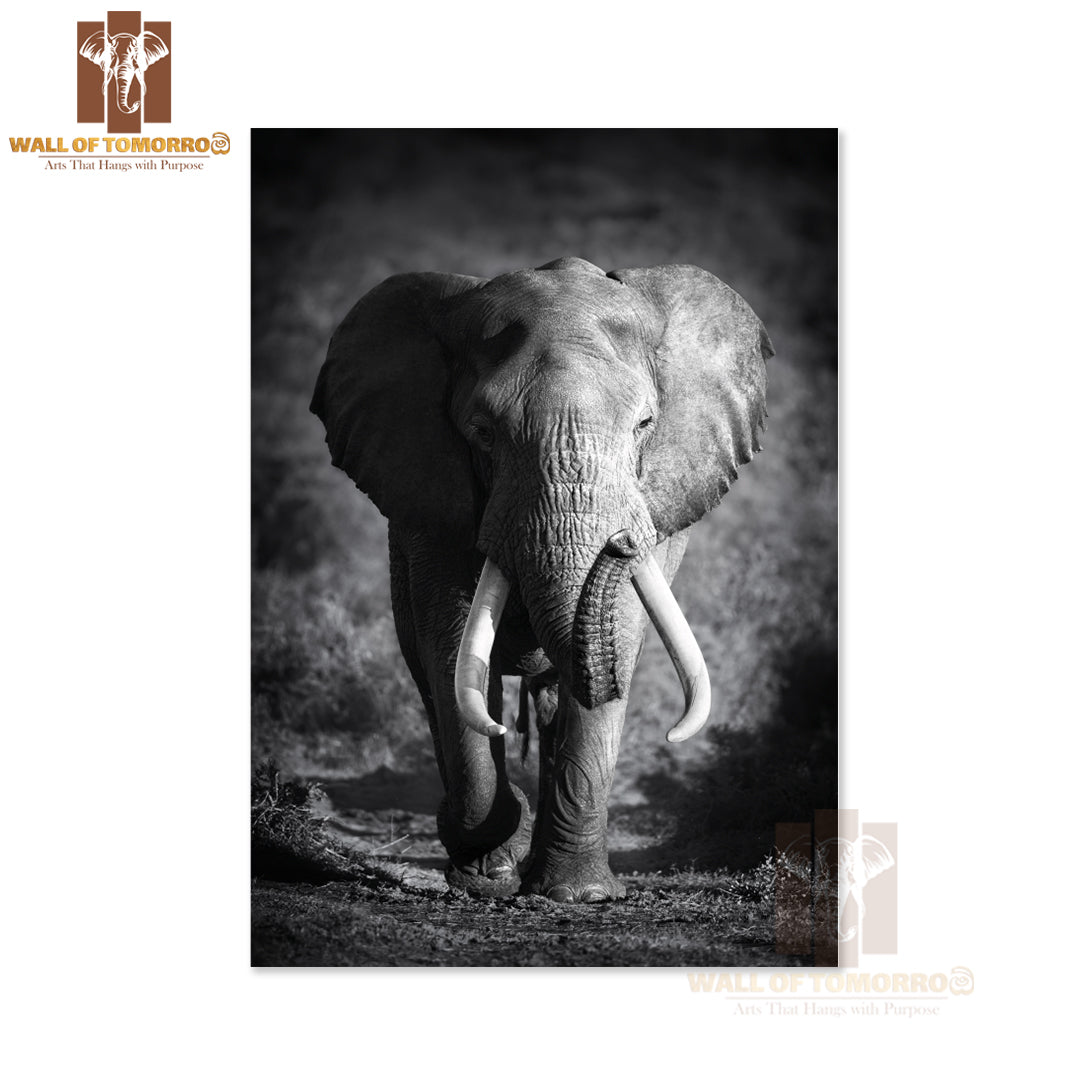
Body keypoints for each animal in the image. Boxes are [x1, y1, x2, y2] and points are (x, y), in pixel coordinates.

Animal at [311, 257, 771, 903]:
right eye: (482, 432)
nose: (622, 542)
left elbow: (621, 634)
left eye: (645, 424)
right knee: (432, 678)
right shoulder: (430, 501)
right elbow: (450, 646)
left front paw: (578, 895)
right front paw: (487, 871)